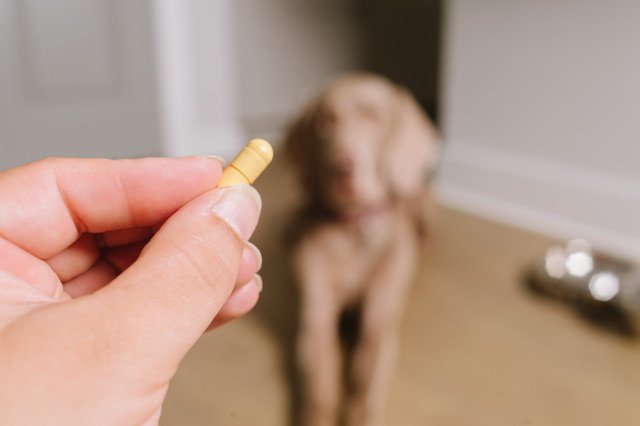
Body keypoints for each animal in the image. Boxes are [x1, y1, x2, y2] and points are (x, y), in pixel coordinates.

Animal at [286, 74, 440, 426]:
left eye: (374, 117)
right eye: (324, 122)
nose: (341, 168)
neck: (354, 227)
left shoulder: (379, 323)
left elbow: (363, 389)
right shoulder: (315, 320)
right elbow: (318, 393)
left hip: (423, 198)